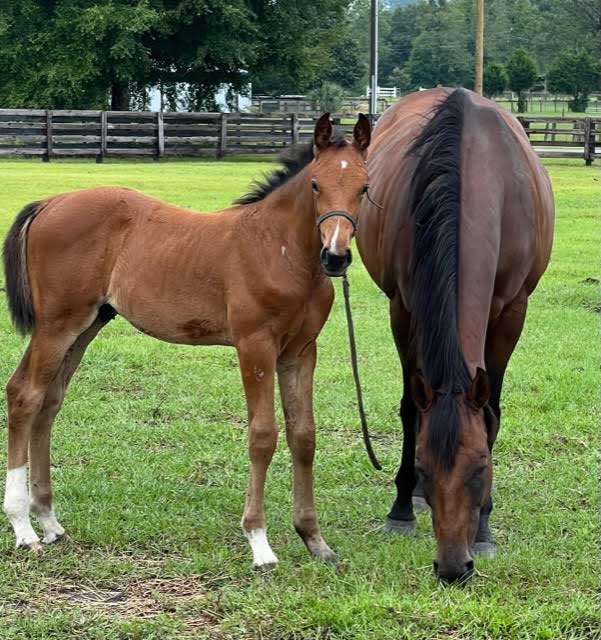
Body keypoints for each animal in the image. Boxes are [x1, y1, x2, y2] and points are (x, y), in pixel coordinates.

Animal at [2, 113, 371, 570]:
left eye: (365, 187)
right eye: (316, 184)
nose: (336, 257)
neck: (279, 250)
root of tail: (50, 202)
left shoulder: (301, 352)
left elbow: (304, 436)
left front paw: (314, 539)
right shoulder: (255, 346)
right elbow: (263, 435)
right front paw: (259, 542)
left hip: (86, 325)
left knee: (49, 403)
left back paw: (49, 521)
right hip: (57, 324)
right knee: (24, 394)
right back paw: (23, 527)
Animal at [357, 88, 554, 582]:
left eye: (481, 467)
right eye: (424, 466)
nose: (452, 567)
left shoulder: (513, 311)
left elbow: (492, 414)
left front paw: (484, 529)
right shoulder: (403, 307)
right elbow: (412, 409)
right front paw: (402, 507)